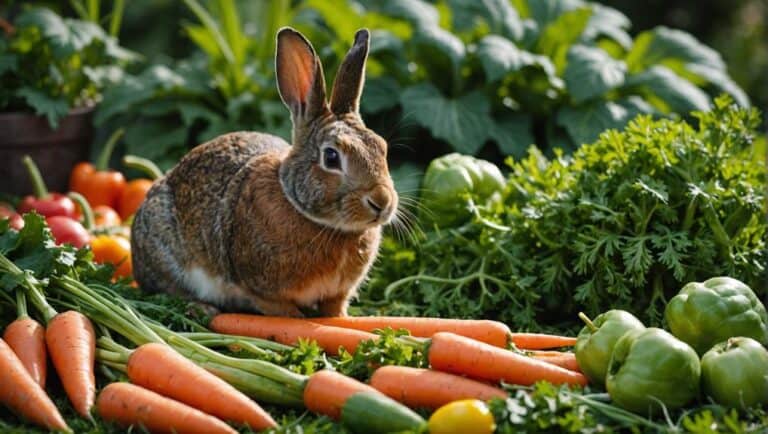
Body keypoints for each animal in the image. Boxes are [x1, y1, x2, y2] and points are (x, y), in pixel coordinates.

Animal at [131, 27, 397, 317]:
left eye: (382, 147)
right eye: (331, 157)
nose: (381, 201)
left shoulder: (337, 293)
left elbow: (334, 310)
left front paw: (342, 319)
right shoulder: (260, 289)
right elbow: (285, 313)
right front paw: (299, 319)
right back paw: (202, 308)